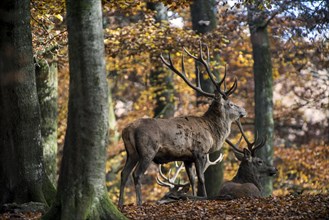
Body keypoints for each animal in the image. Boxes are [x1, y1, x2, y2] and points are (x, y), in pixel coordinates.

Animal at [119, 43, 245, 206]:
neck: (212, 132)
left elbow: (192, 179)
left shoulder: (187, 158)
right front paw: (204, 197)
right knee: (137, 174)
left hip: (131, 152)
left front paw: (193, 197)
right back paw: (139, 203)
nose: (243, 110)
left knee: (124, 173)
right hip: (147, 150)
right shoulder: (200, 151)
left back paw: (120, 203)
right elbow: (201, 178)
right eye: (230, 104)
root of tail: (127, 130)